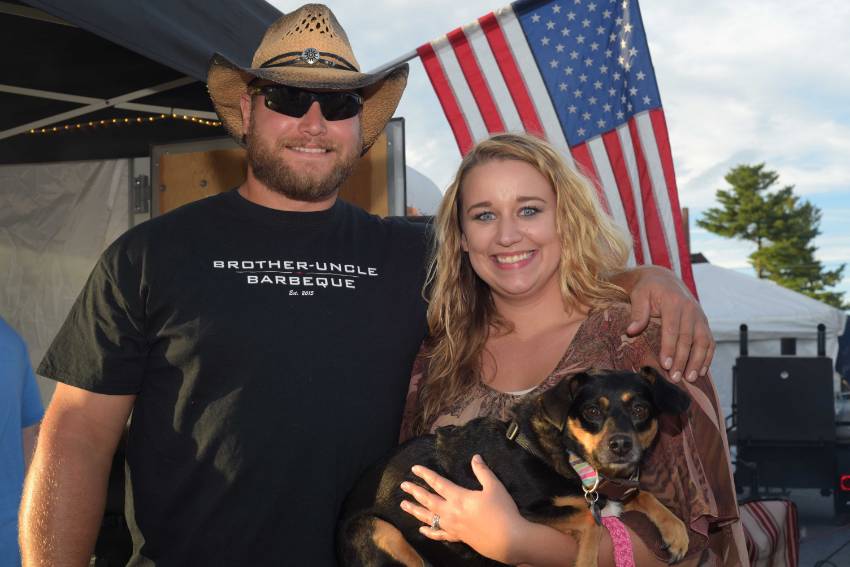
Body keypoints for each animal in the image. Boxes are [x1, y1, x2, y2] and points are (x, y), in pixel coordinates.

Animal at [338, 367, 691, 567]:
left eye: (641, 409)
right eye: (591, 411)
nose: (620, 445)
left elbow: (640, 493)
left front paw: (676, 530)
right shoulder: (525, 511)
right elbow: (592, 523)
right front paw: (587, 560)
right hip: (380, 532)